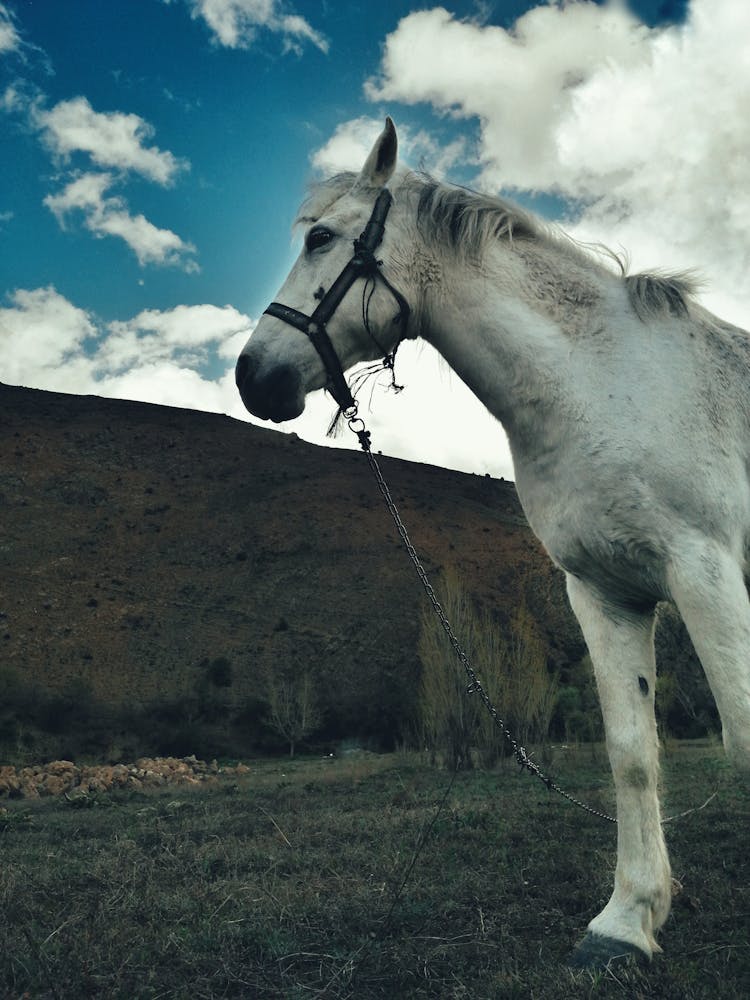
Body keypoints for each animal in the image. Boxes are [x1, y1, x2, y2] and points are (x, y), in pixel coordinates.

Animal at [238, 119, 750, 968]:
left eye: (320, 237)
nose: (254, 376)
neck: (602, 385)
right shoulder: (605, 591)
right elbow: (631, 755)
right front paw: (627, 921)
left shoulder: (705, 574)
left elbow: (740, 735)